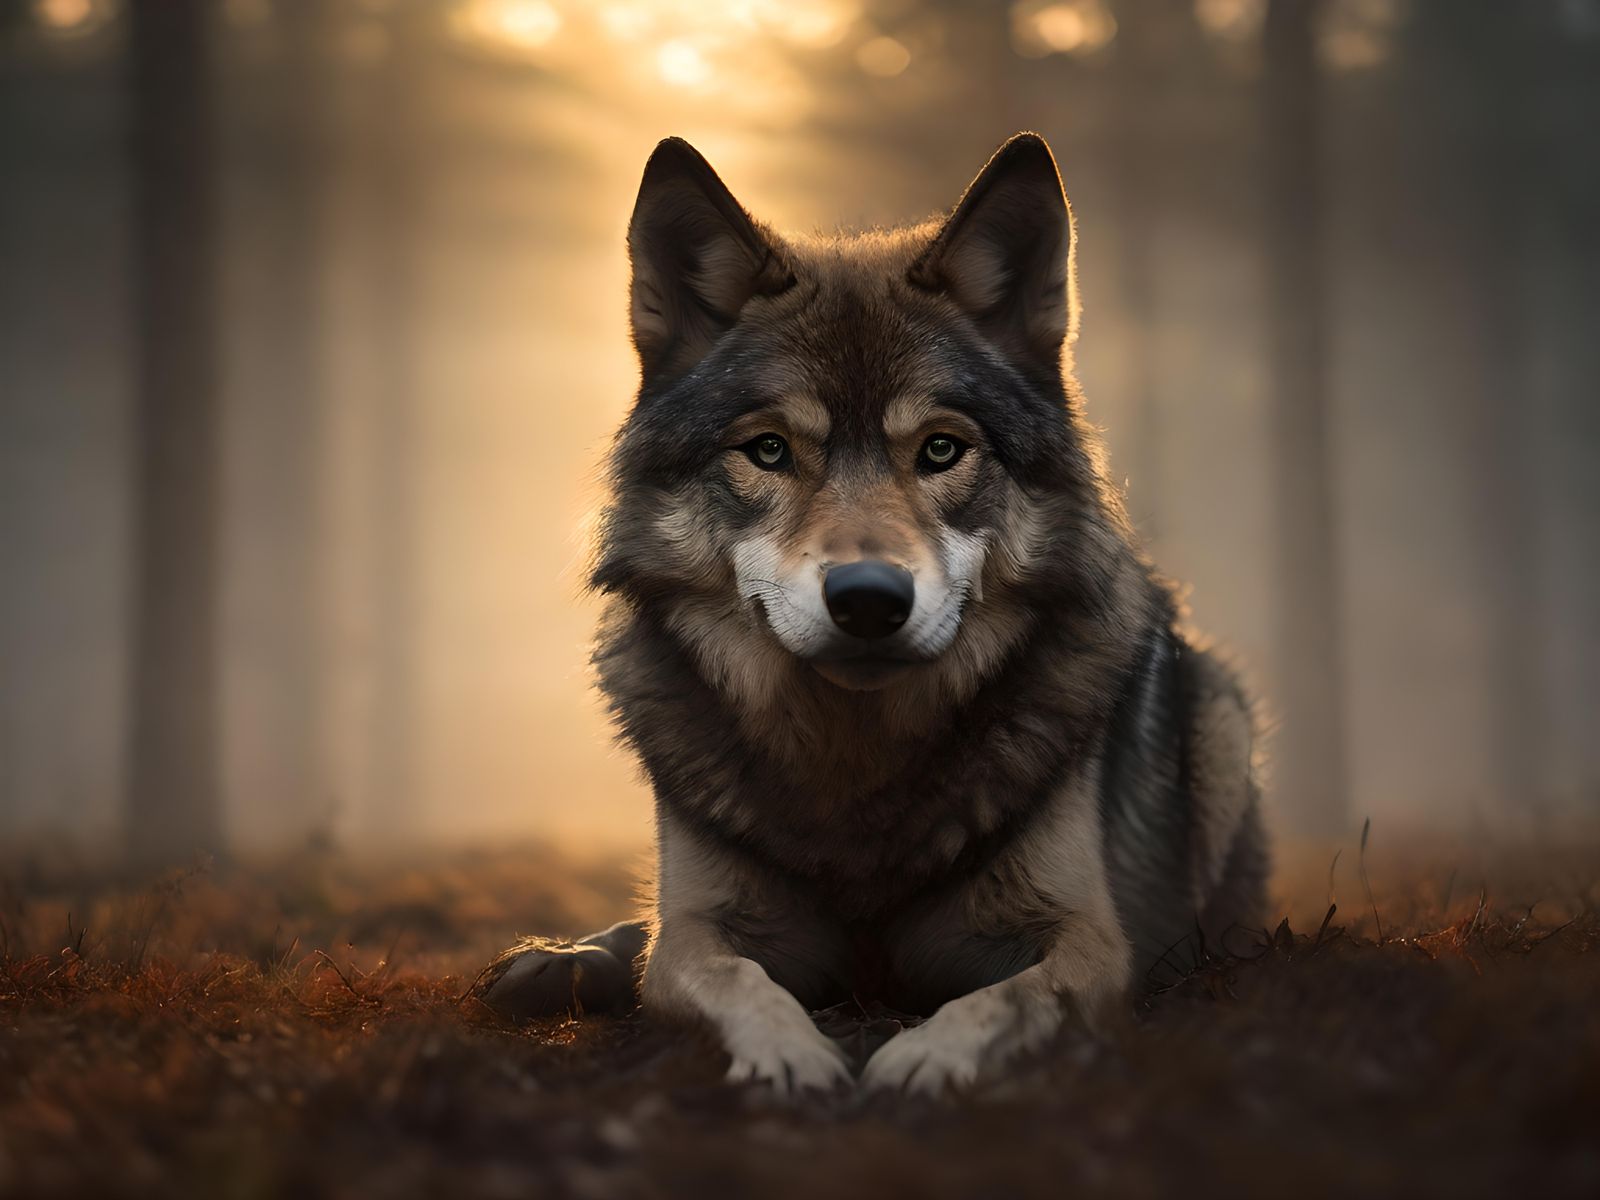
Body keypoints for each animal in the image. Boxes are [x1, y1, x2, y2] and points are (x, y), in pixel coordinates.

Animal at [481, 132, 1269, 1095]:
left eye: (941, 449)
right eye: (768, 450)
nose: (868, 598)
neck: (855, 761)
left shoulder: (1089, 940)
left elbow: (1013, 997)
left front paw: (929, 1058)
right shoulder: (705, 931)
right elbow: (718, 970)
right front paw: (789, 1056)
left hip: (1224, 723)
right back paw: (558, 958)